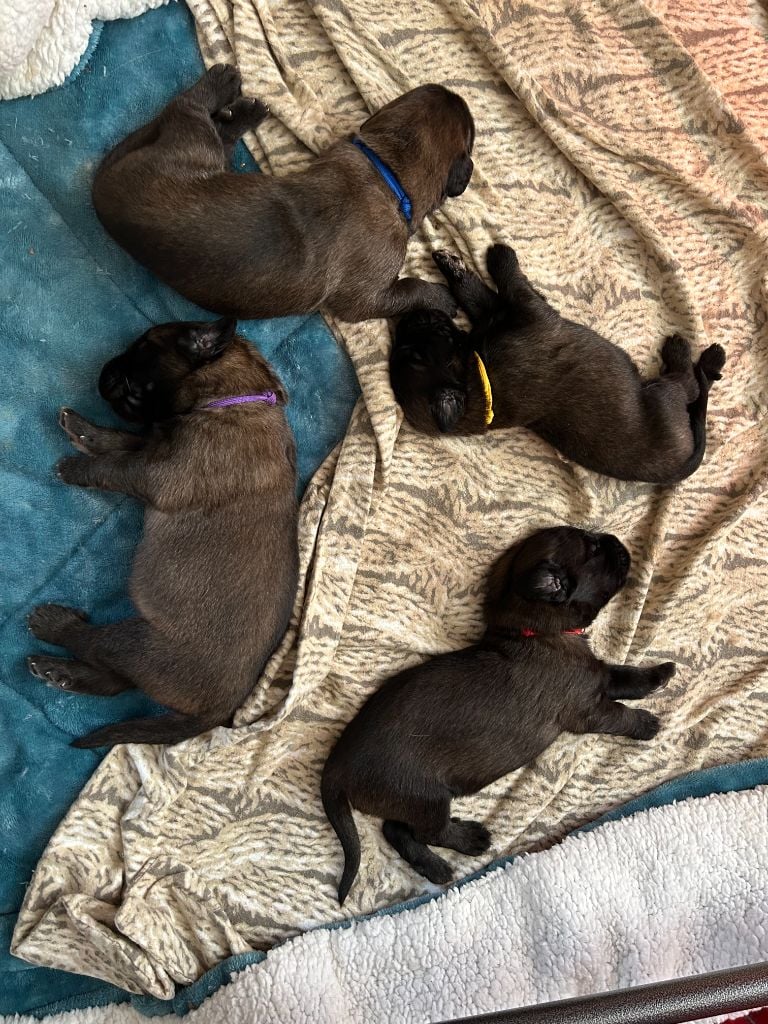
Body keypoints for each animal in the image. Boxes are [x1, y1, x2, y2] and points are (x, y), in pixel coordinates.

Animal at [27, 318, 298, 748]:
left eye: (140, 353)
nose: (101, 375)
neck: (235, 397)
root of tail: (218, 713)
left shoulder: (157, 473)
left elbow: (114, 466)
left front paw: (75, 467)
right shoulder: (155, 443)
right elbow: (122, 441)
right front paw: (86, 431)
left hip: (140, 643)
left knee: (97, 648)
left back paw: (54, 626)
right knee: (116, 682)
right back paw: (61, 673)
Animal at [92, 66, 475, 322]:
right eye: (472, 135)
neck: (388, 171)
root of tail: (102, 190)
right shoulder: (367, 297)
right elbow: (408, 289)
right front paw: (440, 297)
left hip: (207, 156)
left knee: (219, 133)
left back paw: (244, 112)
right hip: (193, 143)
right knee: (188, 109)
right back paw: (221, 82)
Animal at [322, 525, 674, 903]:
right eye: (593, 547)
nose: (617, 541)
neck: (535, 631)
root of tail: (336, 766)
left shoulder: (597, 676)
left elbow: (625, 676)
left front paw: (661, 673)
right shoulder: (588, 709)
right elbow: (619, 712)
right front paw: (647, 724)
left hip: (411, 800)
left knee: (395, 829)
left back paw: (435, 867)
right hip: (424, 796)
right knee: (427, 830)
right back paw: (470, 840)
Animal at [390, 245, 726, 484]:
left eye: (409, 351)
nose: (409, 317)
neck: (479, 383)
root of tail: (677, 470)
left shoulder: (496, 314)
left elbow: (474, 294)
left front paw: (451, 264)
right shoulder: (532, 313)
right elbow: (513, 282)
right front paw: (501, 253)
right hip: (663, 396)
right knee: (690, 385)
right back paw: (690, 353)